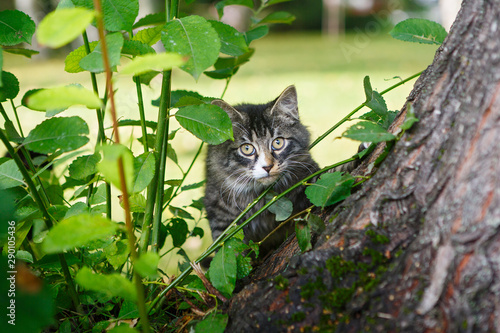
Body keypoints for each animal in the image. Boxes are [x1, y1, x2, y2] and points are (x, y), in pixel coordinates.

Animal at [204, 85, 318, 254]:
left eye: (278, 143)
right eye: (247, 149)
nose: (267, 166)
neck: (260, 195)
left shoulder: (307, 177)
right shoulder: (220, 215)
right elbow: (230, 249)